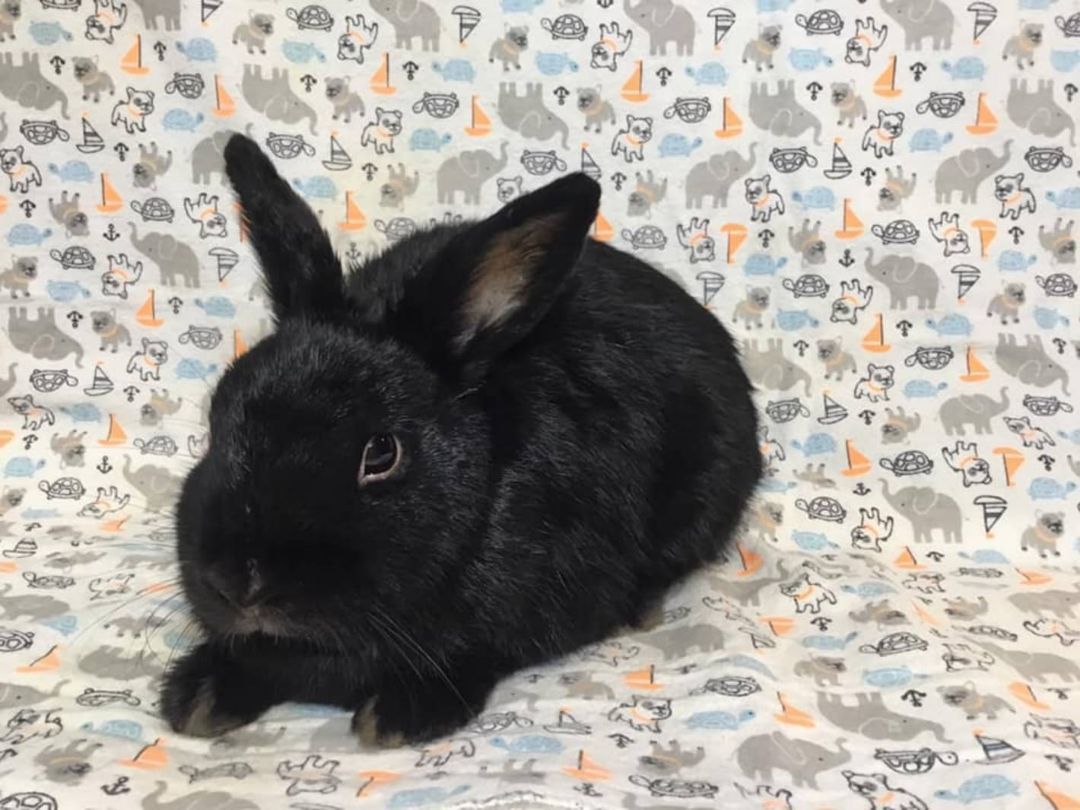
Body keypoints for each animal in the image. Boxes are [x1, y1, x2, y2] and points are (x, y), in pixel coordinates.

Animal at [160, 134, 761, 747]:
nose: (238, 583)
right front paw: (199, 694)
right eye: (219, 414)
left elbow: (478, 654)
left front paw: (401, 714)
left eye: (382, 453)